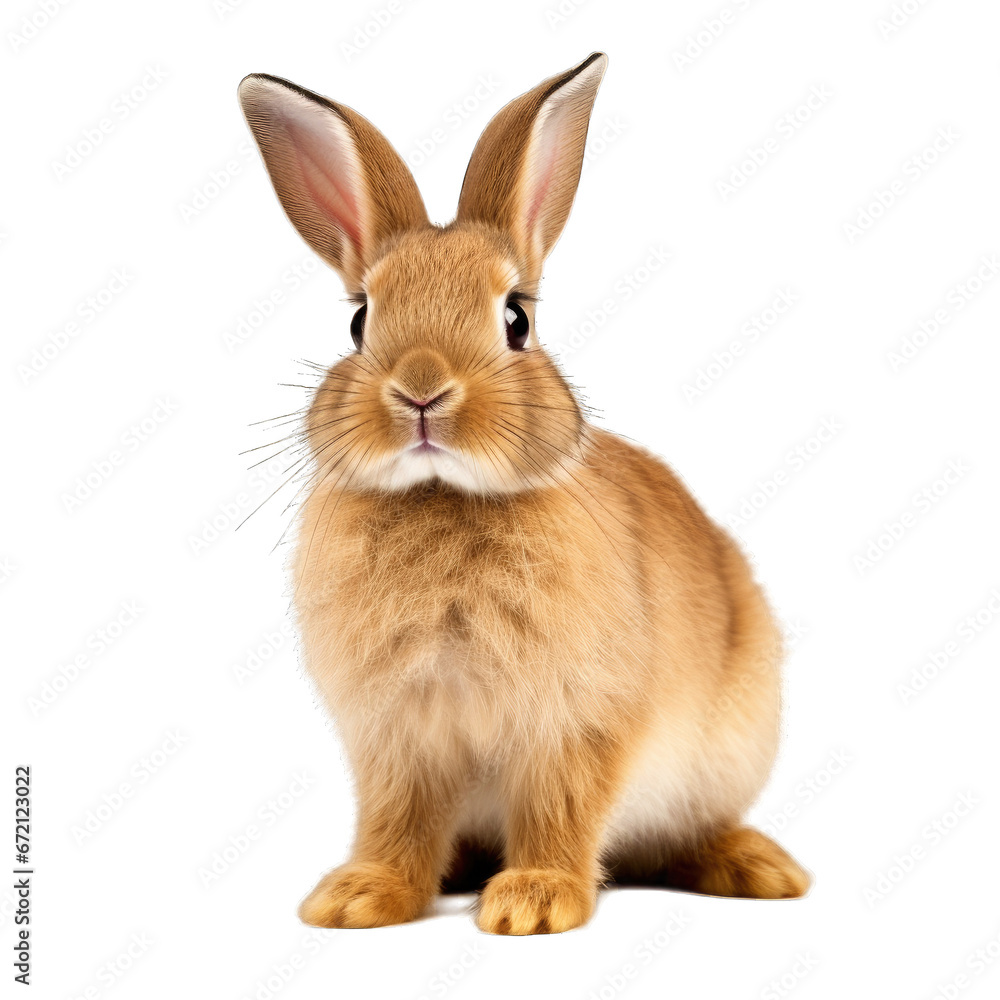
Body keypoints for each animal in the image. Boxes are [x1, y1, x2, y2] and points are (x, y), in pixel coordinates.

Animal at [238, 51, 811, 936]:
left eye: (517, 319)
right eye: (360, 322)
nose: (422, 390)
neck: (442, 498)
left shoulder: (573, 725)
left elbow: (557, 809)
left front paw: (532, 904)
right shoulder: (397, 740)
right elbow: (398, 821)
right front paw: (359, 896)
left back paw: (761, 869)